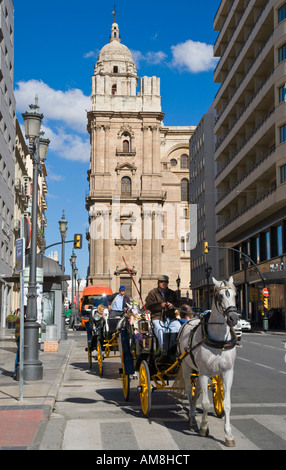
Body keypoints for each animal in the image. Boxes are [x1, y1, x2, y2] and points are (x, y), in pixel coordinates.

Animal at [178, 278, 238, 446]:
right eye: (219, 296)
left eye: (235, 295)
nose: (233, 318)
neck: (218, 340)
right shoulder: (204, 372)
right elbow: (205, 403)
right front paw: (204, 427)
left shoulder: (227, 372)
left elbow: (226, 404)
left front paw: (228, 435)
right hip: (186, 366)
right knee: (190, 391)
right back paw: (193, 420)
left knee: (197, 389)